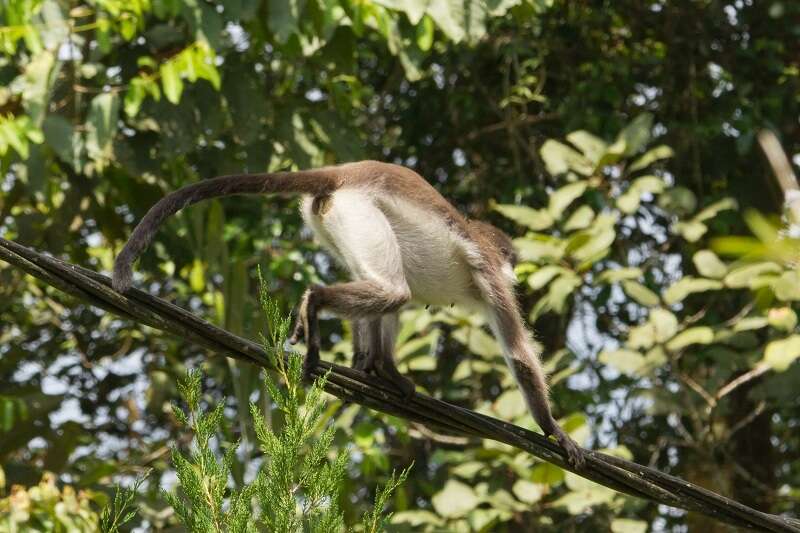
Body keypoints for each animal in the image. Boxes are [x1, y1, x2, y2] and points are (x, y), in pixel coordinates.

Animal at [112, 159, 584, 466]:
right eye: (511, 264)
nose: (517, 272)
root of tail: (348, 171)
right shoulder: (490, 275)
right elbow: (520, 356)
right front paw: (554, 431)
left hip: (335, 218)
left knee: (383, 287)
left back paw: (377, 367)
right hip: (358, 211)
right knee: (394, 291)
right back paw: (320, 306)